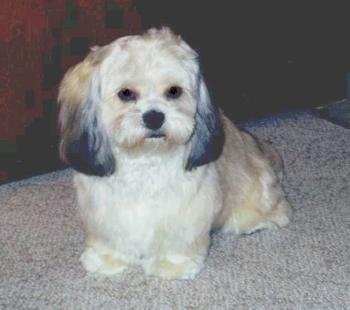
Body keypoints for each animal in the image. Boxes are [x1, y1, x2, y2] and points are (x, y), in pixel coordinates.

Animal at [58, 27, 292, 278]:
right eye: (126, 93)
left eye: (173, 91)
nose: (154, 117)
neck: (145, 159)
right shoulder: (103, 208)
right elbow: (111, 237)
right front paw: (108, 259)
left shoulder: (187, 207)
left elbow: (178, 240)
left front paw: (171, 265)